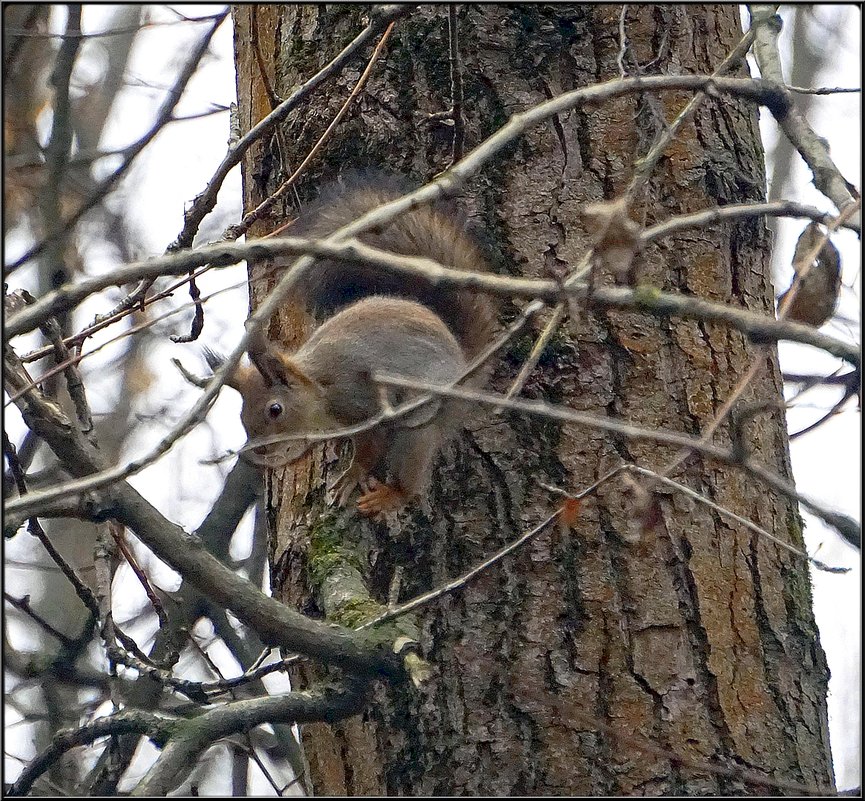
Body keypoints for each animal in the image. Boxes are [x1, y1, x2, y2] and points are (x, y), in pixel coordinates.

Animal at [208, 173, 500, 516]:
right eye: (242, 417)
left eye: (275, 410)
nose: (262, 452)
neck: (319, 388)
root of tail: (466, 364)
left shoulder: (362, 403)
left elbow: (370, 447)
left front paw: (353, 474)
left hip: (419, 421)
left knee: (412, 475)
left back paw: (390, 495)